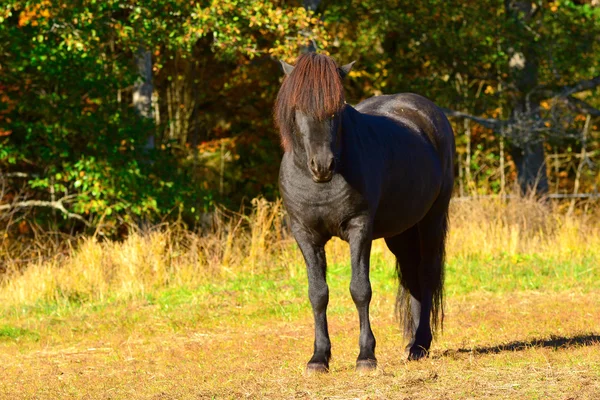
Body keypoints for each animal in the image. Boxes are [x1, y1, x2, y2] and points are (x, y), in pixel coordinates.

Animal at [276, 53, 454, 372]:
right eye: (297, 109)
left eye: (337, 109)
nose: (322, 165)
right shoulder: (305, 234)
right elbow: (317, 293)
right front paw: (318, 358)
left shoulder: (359, 229)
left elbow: (360, 289)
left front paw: (366, 356)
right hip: (401, 232)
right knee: (412, 277)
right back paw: (413, 344)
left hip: (431, 219)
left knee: (427, 273)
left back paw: (420, 344)